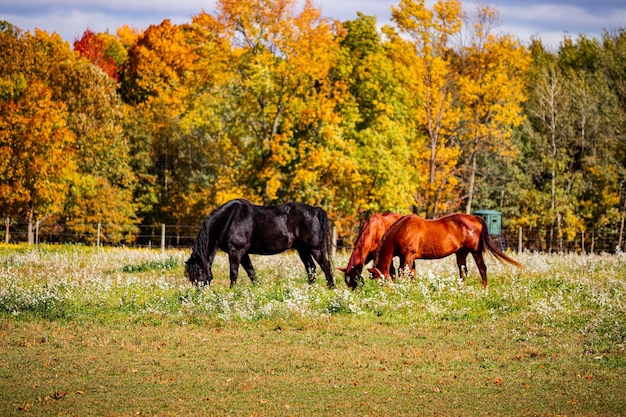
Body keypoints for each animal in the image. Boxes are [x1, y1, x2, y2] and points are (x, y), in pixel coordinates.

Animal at [184, 197, 334, 288]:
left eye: (198, 273)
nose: (199, 295)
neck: (228, 220)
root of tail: (315, 211)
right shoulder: (243, 254)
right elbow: (251, 272)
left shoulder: (236, 251)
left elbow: (233, 273)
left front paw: (232, 291)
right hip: (302, 249)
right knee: (311, 268)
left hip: (315, 248)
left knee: (325, 265)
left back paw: (330, 287)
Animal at [368, 213, 520, 288]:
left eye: (379, 281)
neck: (402, 230)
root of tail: (474, 217)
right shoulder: (408, 258)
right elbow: (412, 274)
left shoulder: (408, 256)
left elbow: (404, 274)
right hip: (461, 253)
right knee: (462, 271)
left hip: (475, 252)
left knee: (482, 269)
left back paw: (484, 289)